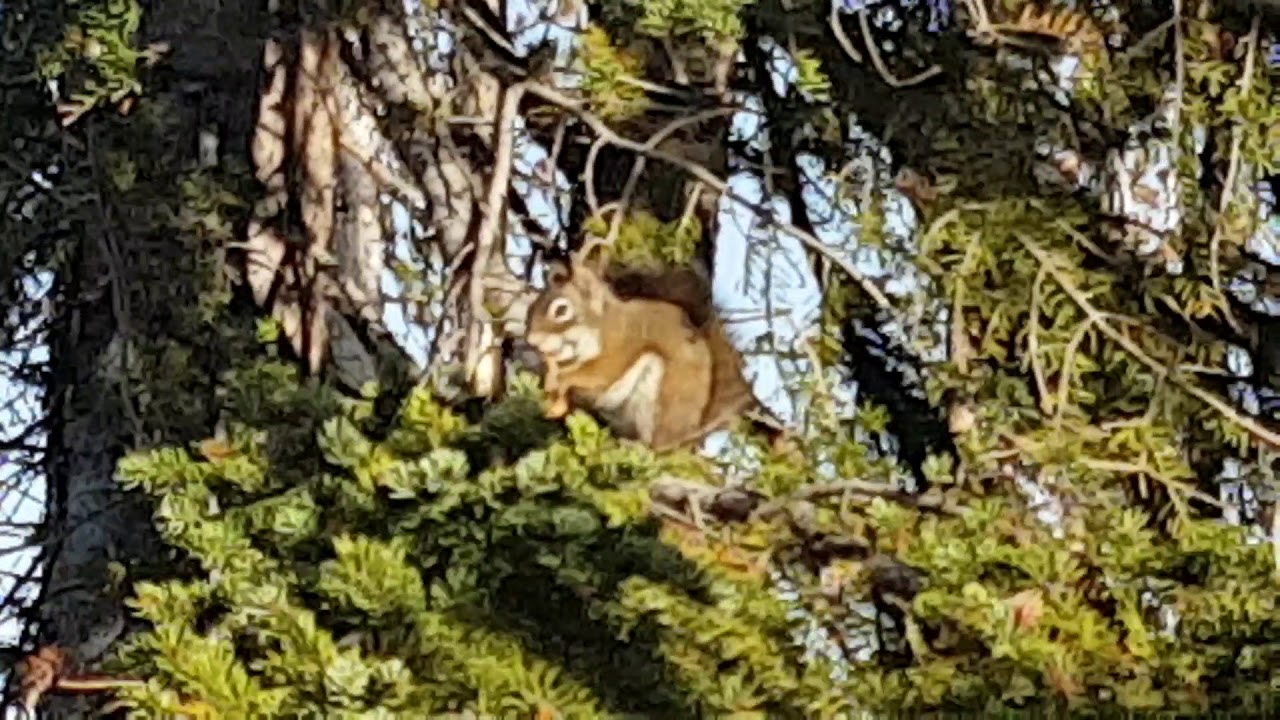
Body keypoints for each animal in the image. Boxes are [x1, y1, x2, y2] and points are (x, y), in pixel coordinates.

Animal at [523, 240, 761, 452]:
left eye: (561, 310)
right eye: (532, 308)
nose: (532, 340)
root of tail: (688, 432)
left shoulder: (621, 345)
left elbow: (601, 372)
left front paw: (562, 379)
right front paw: (551, 381)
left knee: (656, 446)